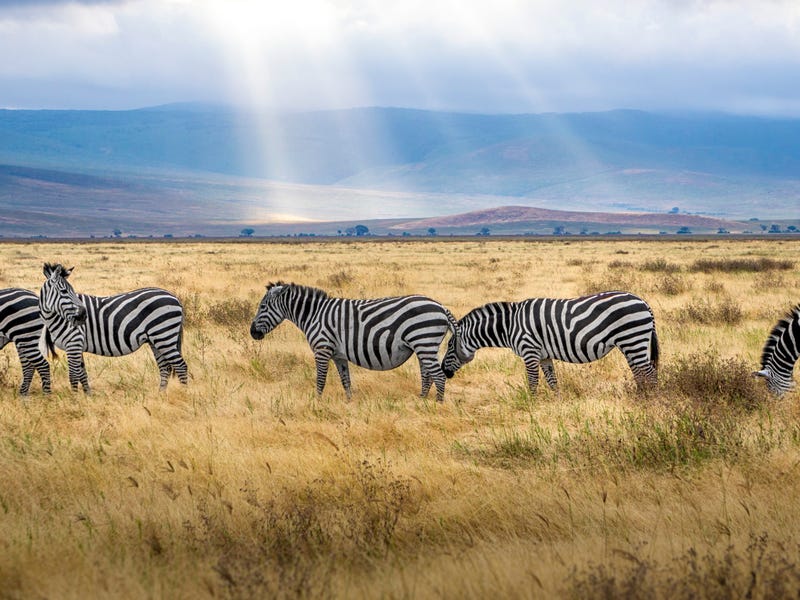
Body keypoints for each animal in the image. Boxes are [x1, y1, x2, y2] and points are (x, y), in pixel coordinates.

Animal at [38, 263, 188, 392]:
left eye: (71, 291)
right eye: (64, 291)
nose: (83, 316)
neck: (57, 317)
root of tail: (174, 297)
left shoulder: (73, 343)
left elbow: (73, 375)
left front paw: (74, 399)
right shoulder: (77, 345)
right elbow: (82, 374)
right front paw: (88, 396)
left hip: (164, 336)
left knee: (181, 366)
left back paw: (184, 393)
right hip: (156, 340)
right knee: (165, 367)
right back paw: (160, 395)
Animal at [249, 282, 460, 401]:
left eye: (262, 306)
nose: (252, 333)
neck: (313, 315)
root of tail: (441, 307)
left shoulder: (322, 349)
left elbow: (320, 379)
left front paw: (317, 402)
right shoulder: (338, 355)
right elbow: (346, 380)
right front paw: (349, 403)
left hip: (424, 341)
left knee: (438, 376)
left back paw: (437, 405)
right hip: (423, 346)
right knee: (427, 375)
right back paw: (421, 401)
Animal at [441, 290, 659, 394]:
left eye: (449, 346)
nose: (444, 371)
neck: (510, 326)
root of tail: (643, 302)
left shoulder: (529, 351)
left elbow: (533, 382)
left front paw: (531, 405)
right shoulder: (544, 356)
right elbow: (552, 381)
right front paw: (557, 403)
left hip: (633, 339)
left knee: (649, 373)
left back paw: (651, 401)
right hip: (631, 344)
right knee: (640, 373)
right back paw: (640, 397)